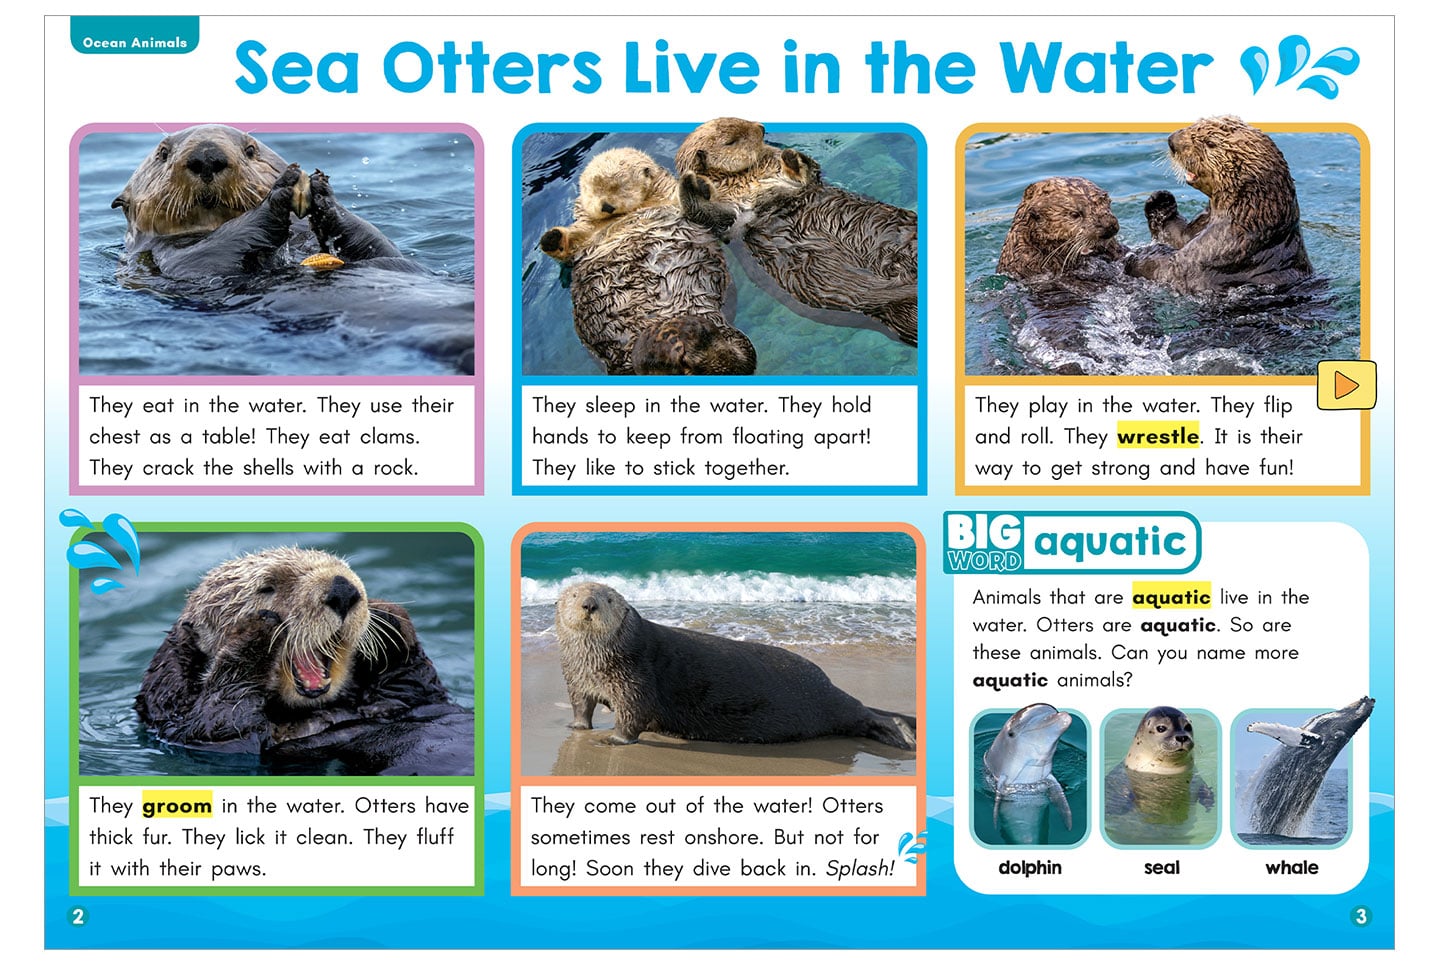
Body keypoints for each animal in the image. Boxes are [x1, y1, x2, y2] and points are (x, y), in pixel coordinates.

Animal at [134, 547, 472, 775]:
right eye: (267, 586)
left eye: (343, 567)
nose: (343, 588)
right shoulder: (200, 733)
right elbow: (223, 719)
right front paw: (255, 631)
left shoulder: (409, 700)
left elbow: (415, 682)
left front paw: (390, 619)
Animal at [539, 148, 756, 375]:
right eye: (592, 192)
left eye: (621, 187)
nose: (606, 206)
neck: (630, 212)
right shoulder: (585, 234)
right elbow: (567, 247)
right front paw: (551, 238)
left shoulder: (677, 201)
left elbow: (723, 216)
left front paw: (702, 184)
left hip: (724, 330)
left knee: (739, 361)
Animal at [554, 581, 917, 749]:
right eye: (573, 595)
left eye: (609, 599)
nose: (589, 604)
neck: (595, 665)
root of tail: (830, 684)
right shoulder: (576, 681)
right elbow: (581, 706)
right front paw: (576, 727)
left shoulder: (635, 680)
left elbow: (634, 715)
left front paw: (614, 740)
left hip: (826, 702)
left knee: (861, 714)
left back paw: (901, 734)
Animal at [677, 119, 919, 347]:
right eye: (731, 141)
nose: (761, 128)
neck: (743, 177)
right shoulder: (729, 223)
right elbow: (710, 217)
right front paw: (693, 183)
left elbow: (810, 171)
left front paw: (792, 157)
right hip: (901, 314)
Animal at [1125, 116, 1313, 293]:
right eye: (1197, 123)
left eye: (1210, 143)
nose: (1172, 141)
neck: (1249, 218)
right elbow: (1178, 236)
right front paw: (1160, 201)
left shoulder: (1222, 249)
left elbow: (1171, 269)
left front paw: (1141, 256)